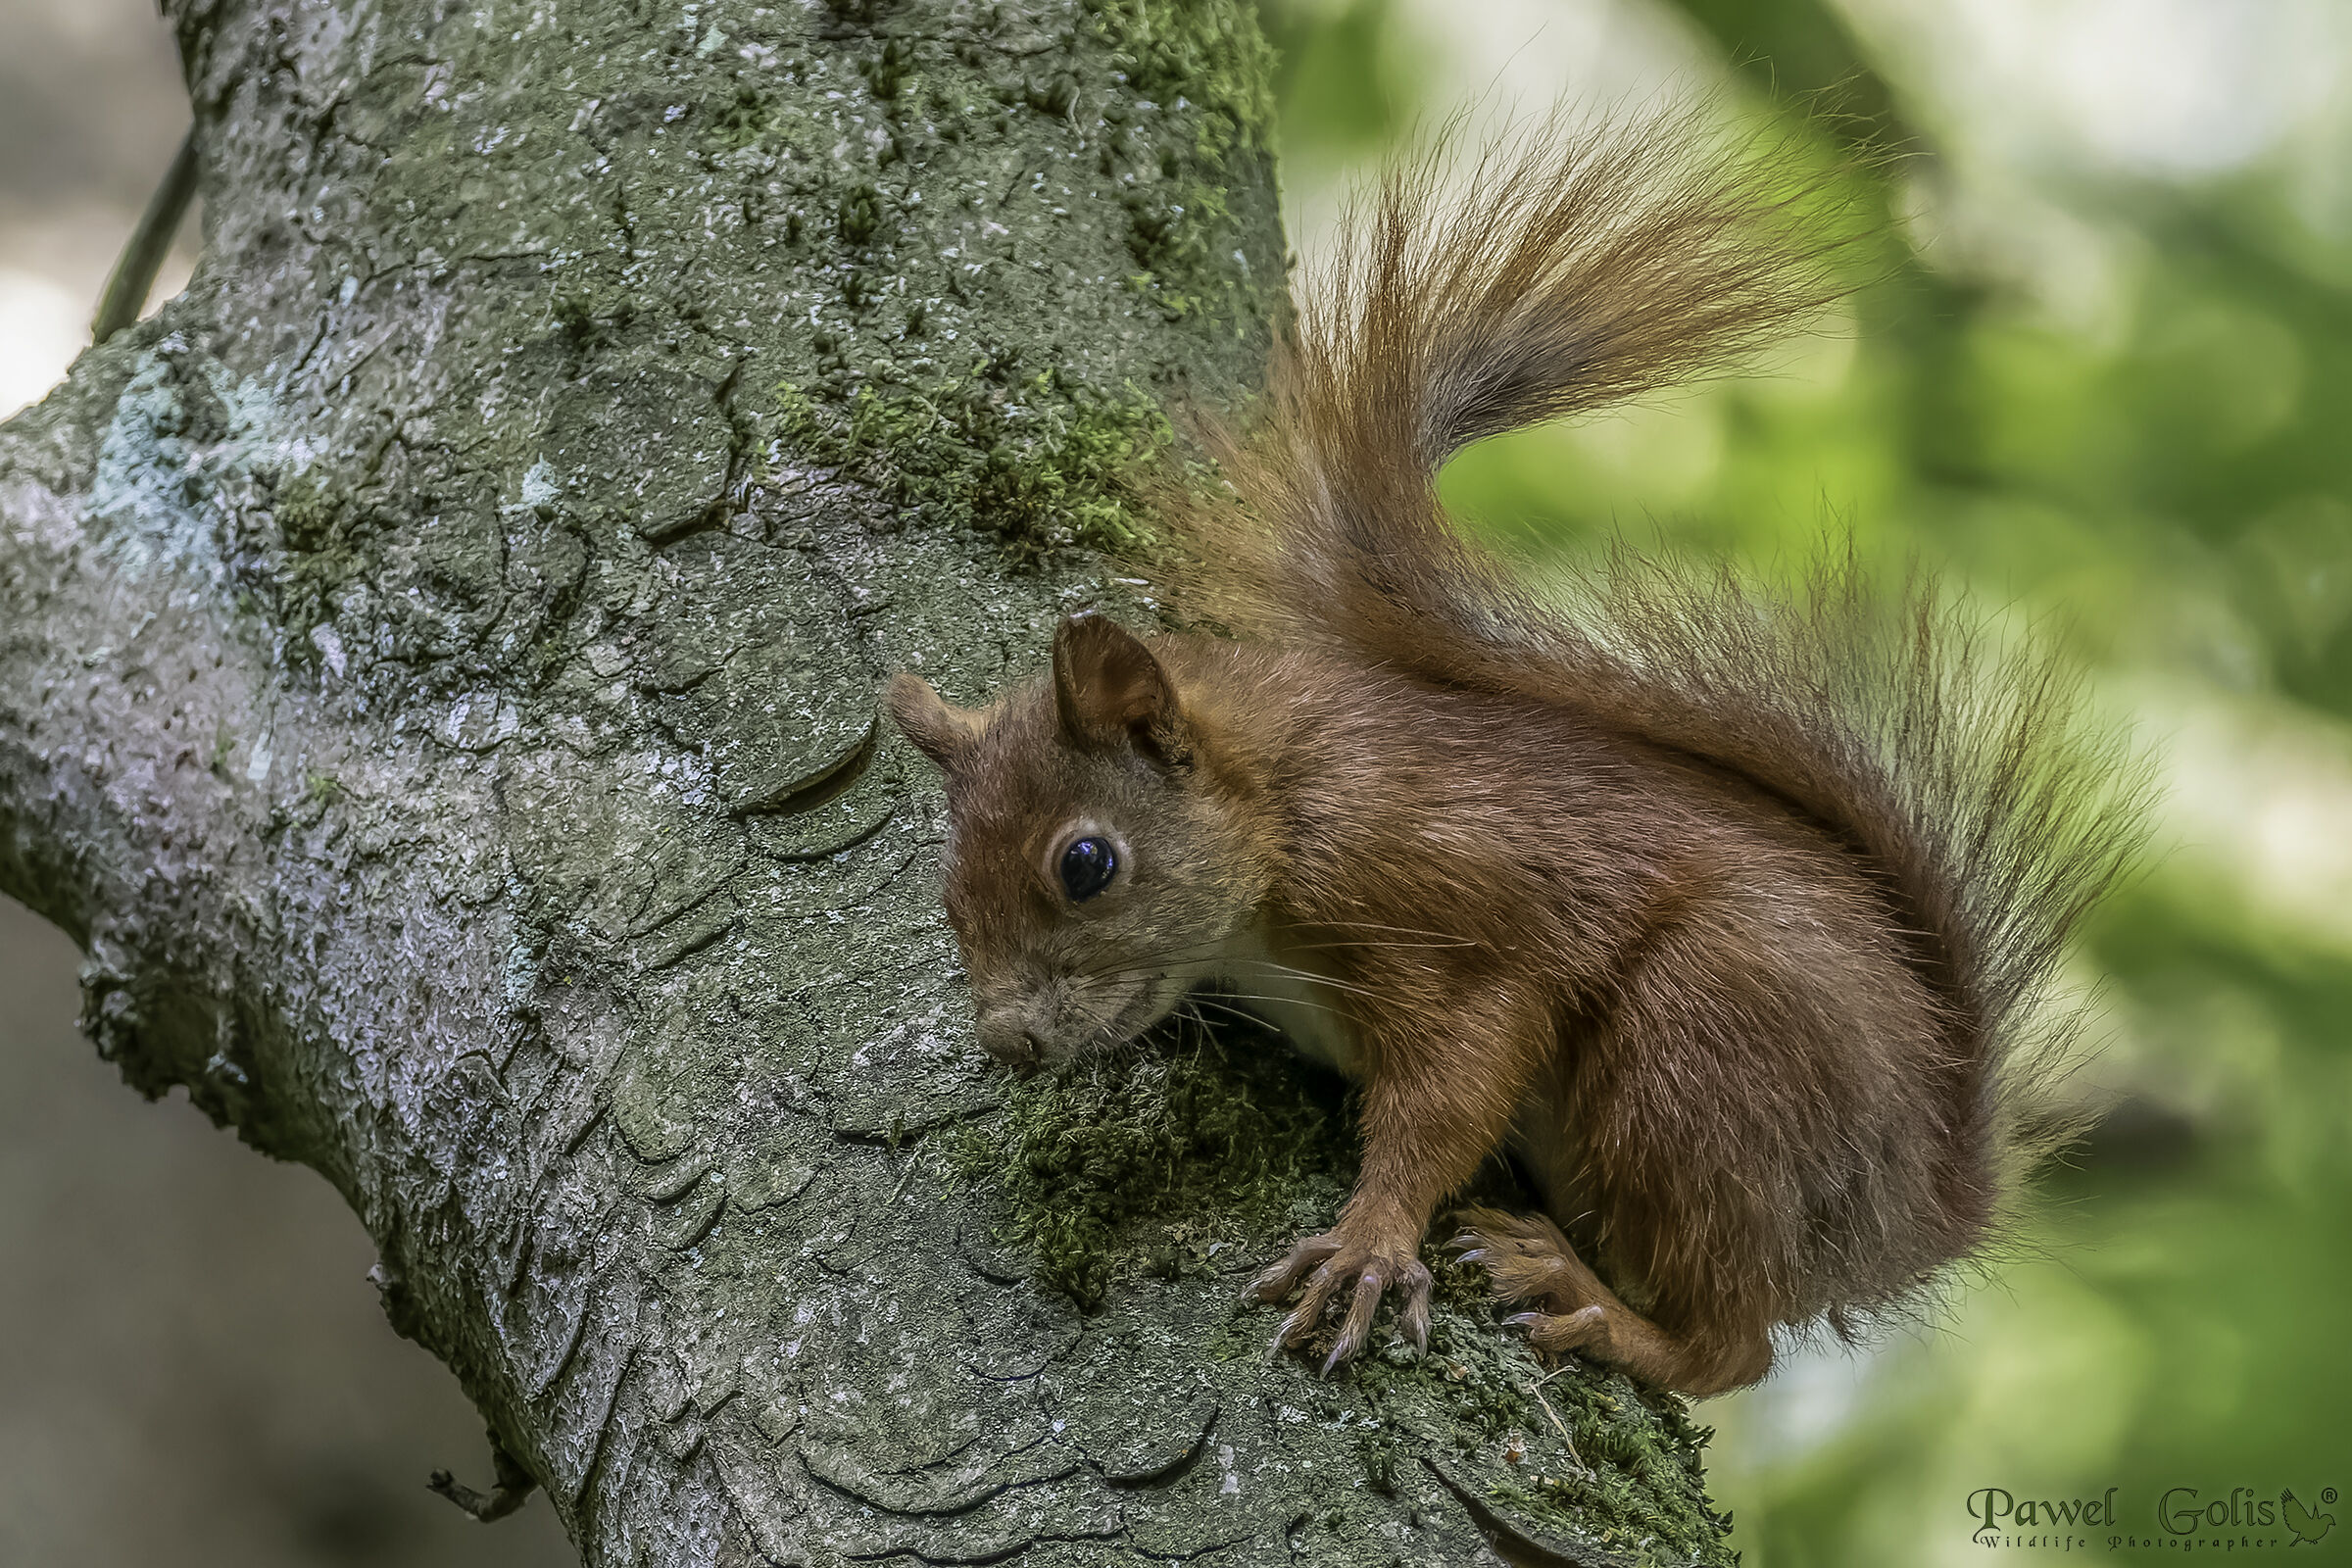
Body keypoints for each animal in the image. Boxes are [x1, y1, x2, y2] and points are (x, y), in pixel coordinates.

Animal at [886, 109, 2145, 1396]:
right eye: (945, 894)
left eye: (1086, 863)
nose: (1006, 1040)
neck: (1284, 802)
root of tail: (1919, 1208)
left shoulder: (1442, 904)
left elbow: (1458, 1078)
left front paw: (1370, 1240)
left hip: (1702, 1048)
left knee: (1733, 1345)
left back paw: (1588, 1299)